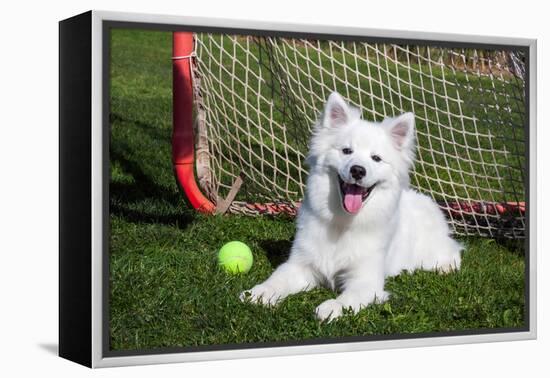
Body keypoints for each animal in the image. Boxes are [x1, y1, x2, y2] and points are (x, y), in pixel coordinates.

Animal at [240, 92, 462, 322]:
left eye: (376, 158)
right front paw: (259, 293)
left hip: (430, 255)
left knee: (453, 250)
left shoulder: (366, 281)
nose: (358, 170)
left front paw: (331, 308)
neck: (342, 222)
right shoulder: (300, 265)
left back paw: (446, 267)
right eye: (347, 151)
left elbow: (348, 298)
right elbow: (277, 280)